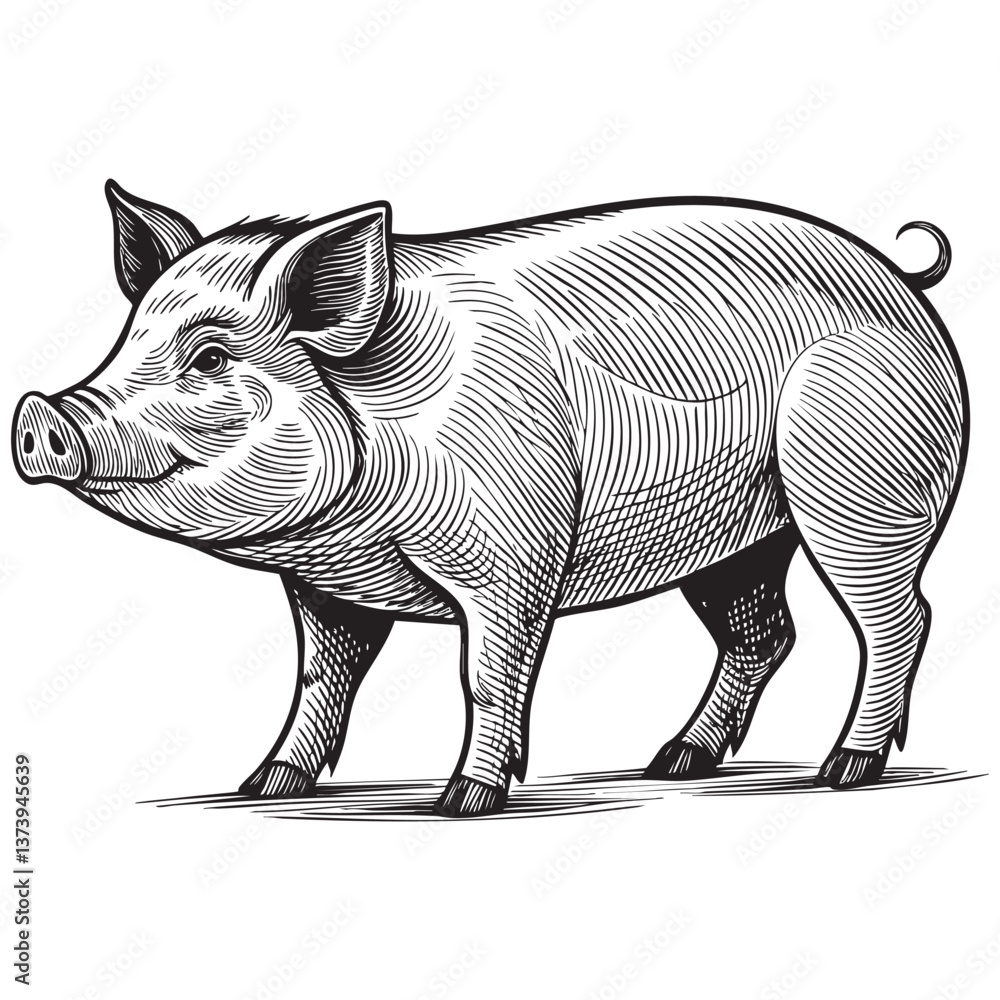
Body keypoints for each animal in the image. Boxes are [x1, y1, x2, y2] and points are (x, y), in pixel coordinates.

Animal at [12, 181, 967, 816]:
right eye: (126, 340)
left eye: (210, 356)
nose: (38, 413)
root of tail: (907, 283)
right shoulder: (324, 584)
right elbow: (322, 675)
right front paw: (263, 786)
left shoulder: (513, 559)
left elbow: (489, 673)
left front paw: (461, 802)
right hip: (737, 537)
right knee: (765, 632)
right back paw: (671, 763)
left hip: (860, 491)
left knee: (900, 620)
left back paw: (841, 772)